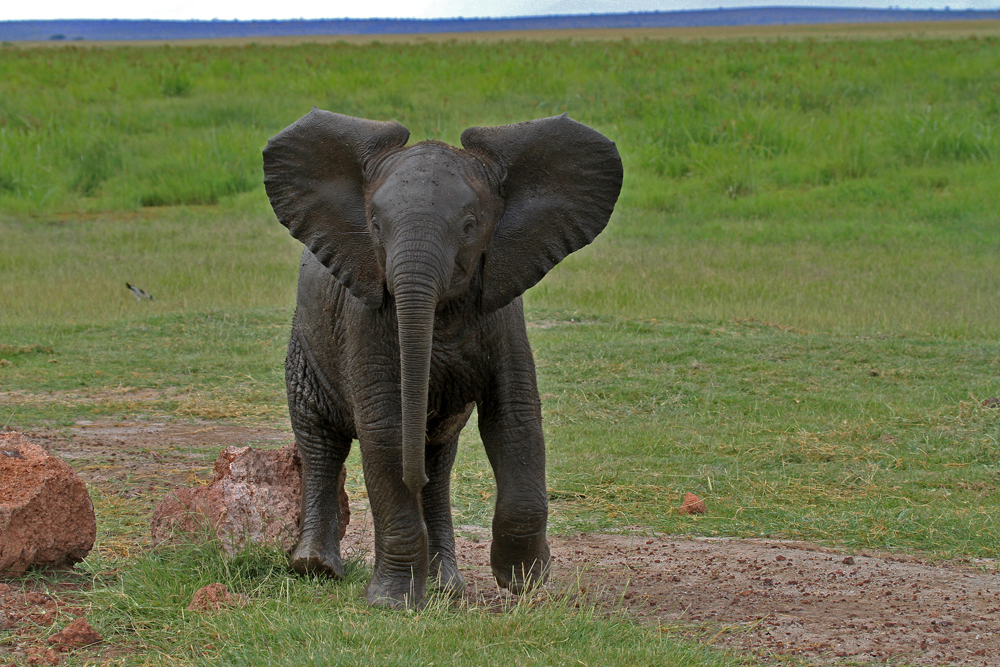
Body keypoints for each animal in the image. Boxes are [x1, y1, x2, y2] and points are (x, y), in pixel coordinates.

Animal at [262, 107, 620, 608]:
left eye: (470, 225)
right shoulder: (365, 318)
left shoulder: (503, 313)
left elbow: (515, 420)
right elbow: (385, 432)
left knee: (438, 458)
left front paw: (524, 580)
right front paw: (392, 603)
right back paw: (317, 568)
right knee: (321, 440)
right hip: (306, 346)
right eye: (375, 226)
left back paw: (446, 585)